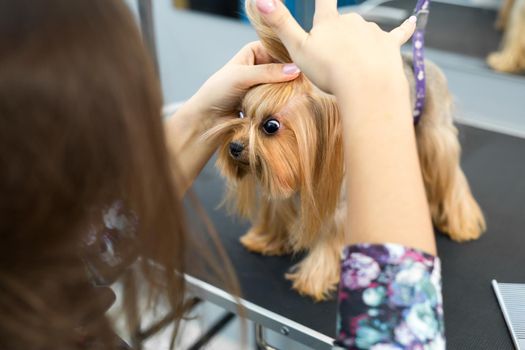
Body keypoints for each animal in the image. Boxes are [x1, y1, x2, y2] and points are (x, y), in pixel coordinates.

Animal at [206, 0, 488, 300]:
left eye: (271, 126)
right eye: (240, 113)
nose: (235, 147)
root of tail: (421, 62)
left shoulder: (337, 196)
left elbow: (331, 234)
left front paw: (314, 278)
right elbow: (278, 209)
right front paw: (265, 240)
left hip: (436, 133)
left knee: (452, 177)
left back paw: (462, 223)